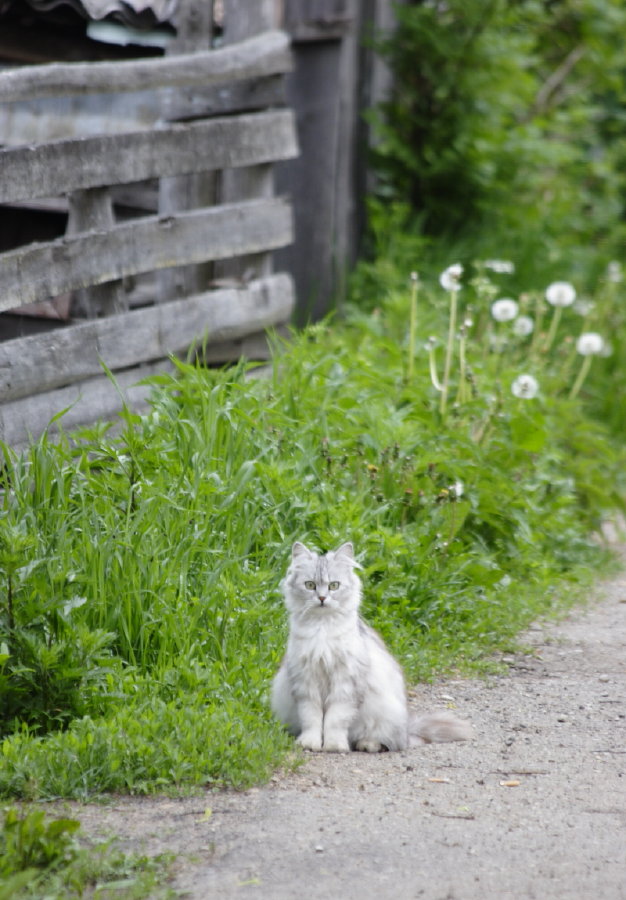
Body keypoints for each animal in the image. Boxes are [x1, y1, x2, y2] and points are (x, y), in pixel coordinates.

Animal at [270, 540, 470, 752]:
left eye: (334, 585)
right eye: (310, 585)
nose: (322, 598)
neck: (322, 629)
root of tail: (408, 729)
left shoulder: (346, 683)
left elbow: (335, 719)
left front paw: (334, 745)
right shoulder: (305, 682)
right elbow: (312, 718)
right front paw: (310, 743)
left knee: (389, 742)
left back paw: (367, 744)